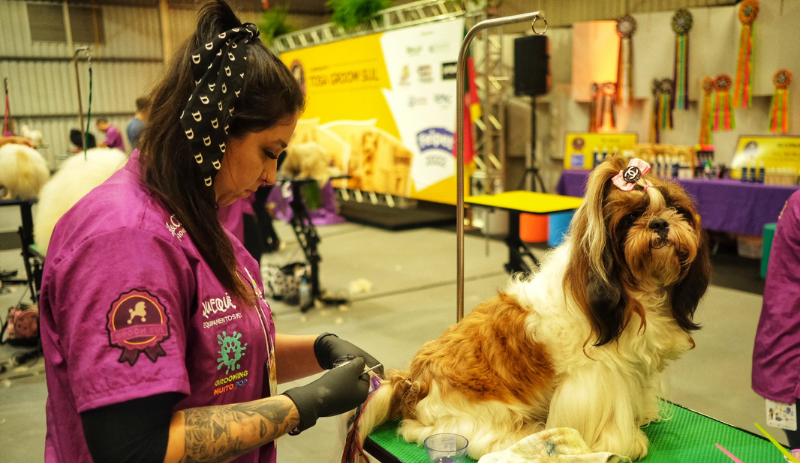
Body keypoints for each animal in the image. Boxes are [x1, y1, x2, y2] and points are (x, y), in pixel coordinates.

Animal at [354, 158, 708, 462]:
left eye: (676, 209)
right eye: (632, 218)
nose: (660, 223)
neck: (634, 288)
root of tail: (411, 385)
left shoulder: (632, 369)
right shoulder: (596, 377)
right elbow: (609, 420)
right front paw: (625, 444)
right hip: (484, 415)